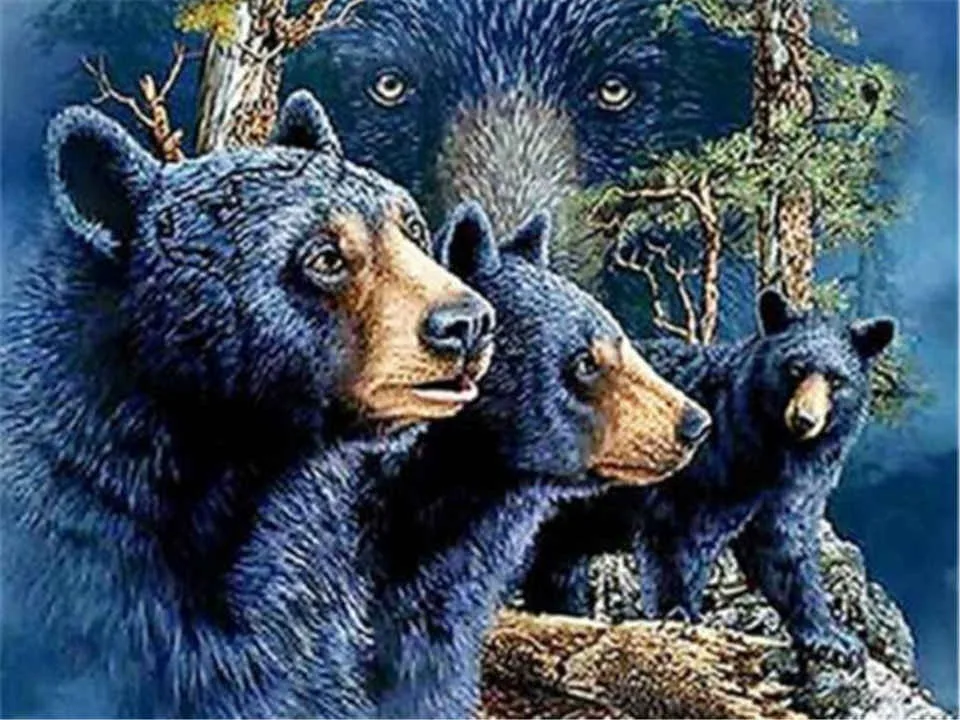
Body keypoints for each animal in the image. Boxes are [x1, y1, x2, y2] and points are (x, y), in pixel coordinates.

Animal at [519, 289, 896, 676]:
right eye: (795, 369)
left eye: (836, 380)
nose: (804, 419)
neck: (768, 450)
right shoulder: (703, 473)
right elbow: (678, 542)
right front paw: (680, 617)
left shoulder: (790, 491)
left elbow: (786, 551)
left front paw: (833, 640)